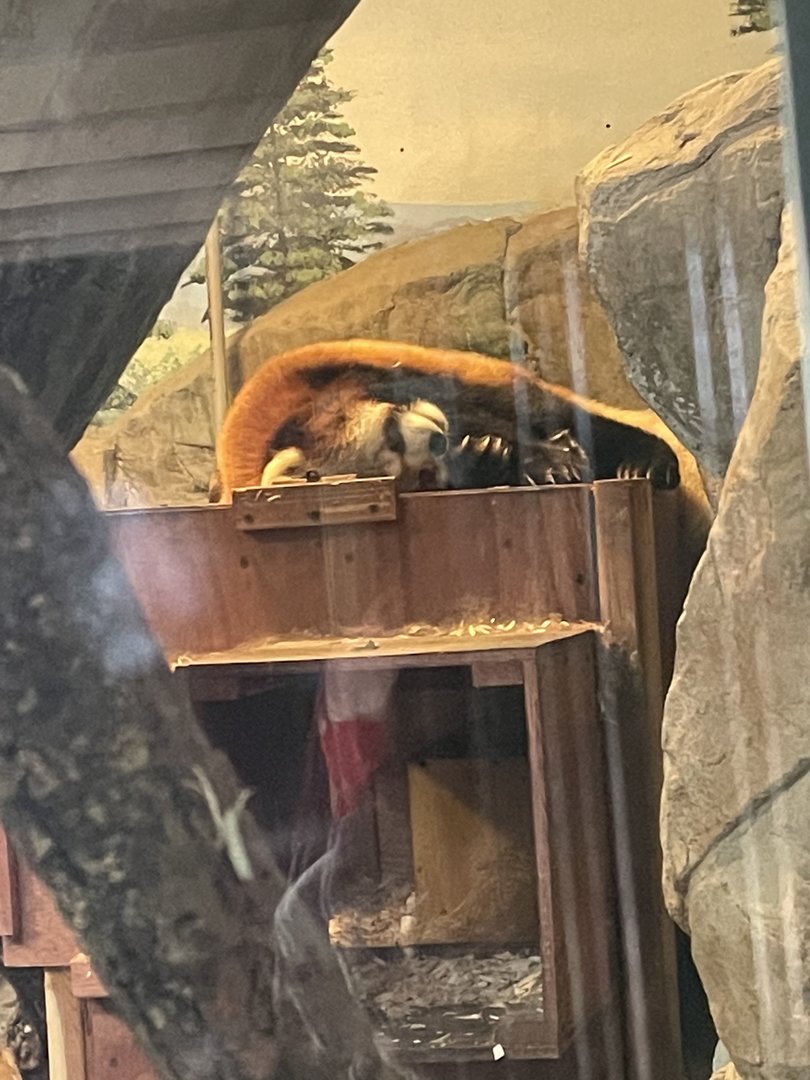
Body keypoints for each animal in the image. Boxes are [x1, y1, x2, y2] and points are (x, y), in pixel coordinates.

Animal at [216, 339, 680, 498]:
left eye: (392, 430)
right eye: (412, 470)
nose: (437, 441)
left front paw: (549, 457)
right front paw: (491, 457)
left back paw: (644, 459)